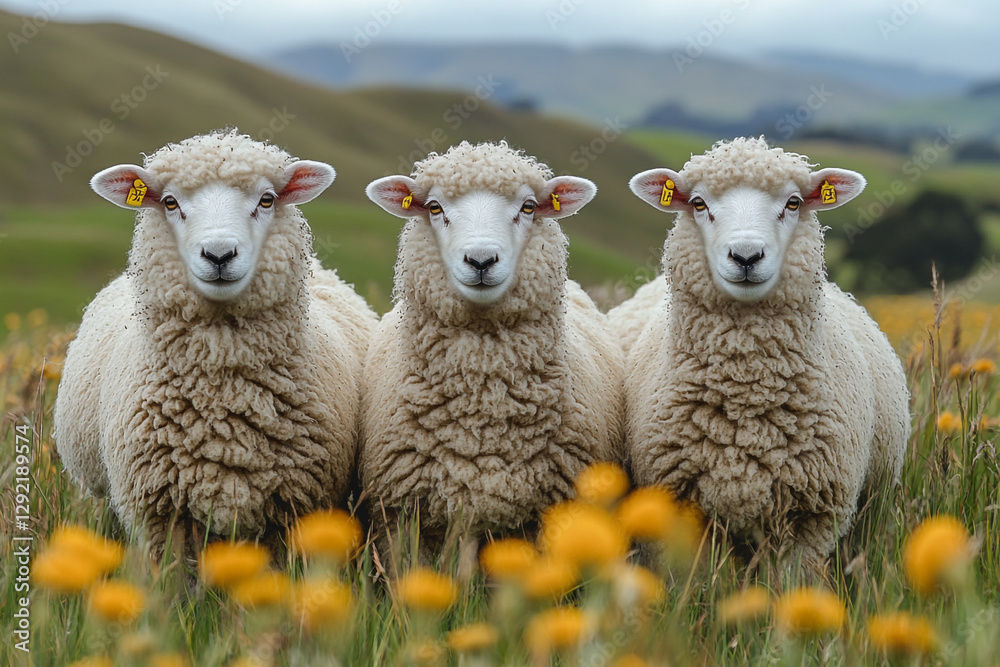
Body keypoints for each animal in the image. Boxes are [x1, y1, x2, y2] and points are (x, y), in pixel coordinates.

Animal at [54, 130, 378, 560]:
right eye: (170, 202)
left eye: (267, 199)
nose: (219, 254)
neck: (225, 390)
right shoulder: (159, 516)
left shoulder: (292, 510)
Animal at [608, 137, 909, 562]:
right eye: (698, 203)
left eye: (794, 203)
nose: (746, 255)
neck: (745, 393)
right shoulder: (684, 512)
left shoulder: (812, 518)